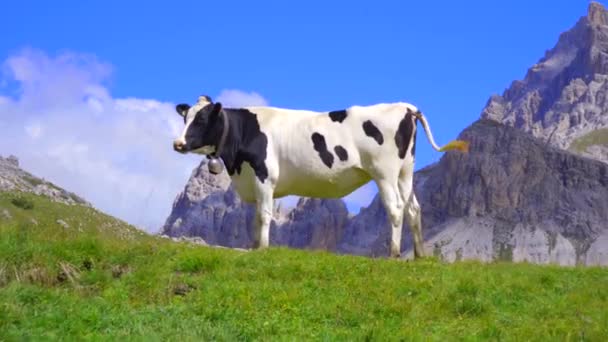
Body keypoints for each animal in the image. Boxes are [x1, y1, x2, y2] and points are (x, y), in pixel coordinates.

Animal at [173, 95, 468, 258]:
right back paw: (419, 255)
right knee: (413, 208)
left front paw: (263, 248)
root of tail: (405, 106)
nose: (177, 143)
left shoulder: (264, 176)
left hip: (384, 172)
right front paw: (254, 245)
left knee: (395, 208)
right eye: (185, 118)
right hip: (405, 171)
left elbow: (264, 215)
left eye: (201, 120)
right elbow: (255, 216)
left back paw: (393, 253)